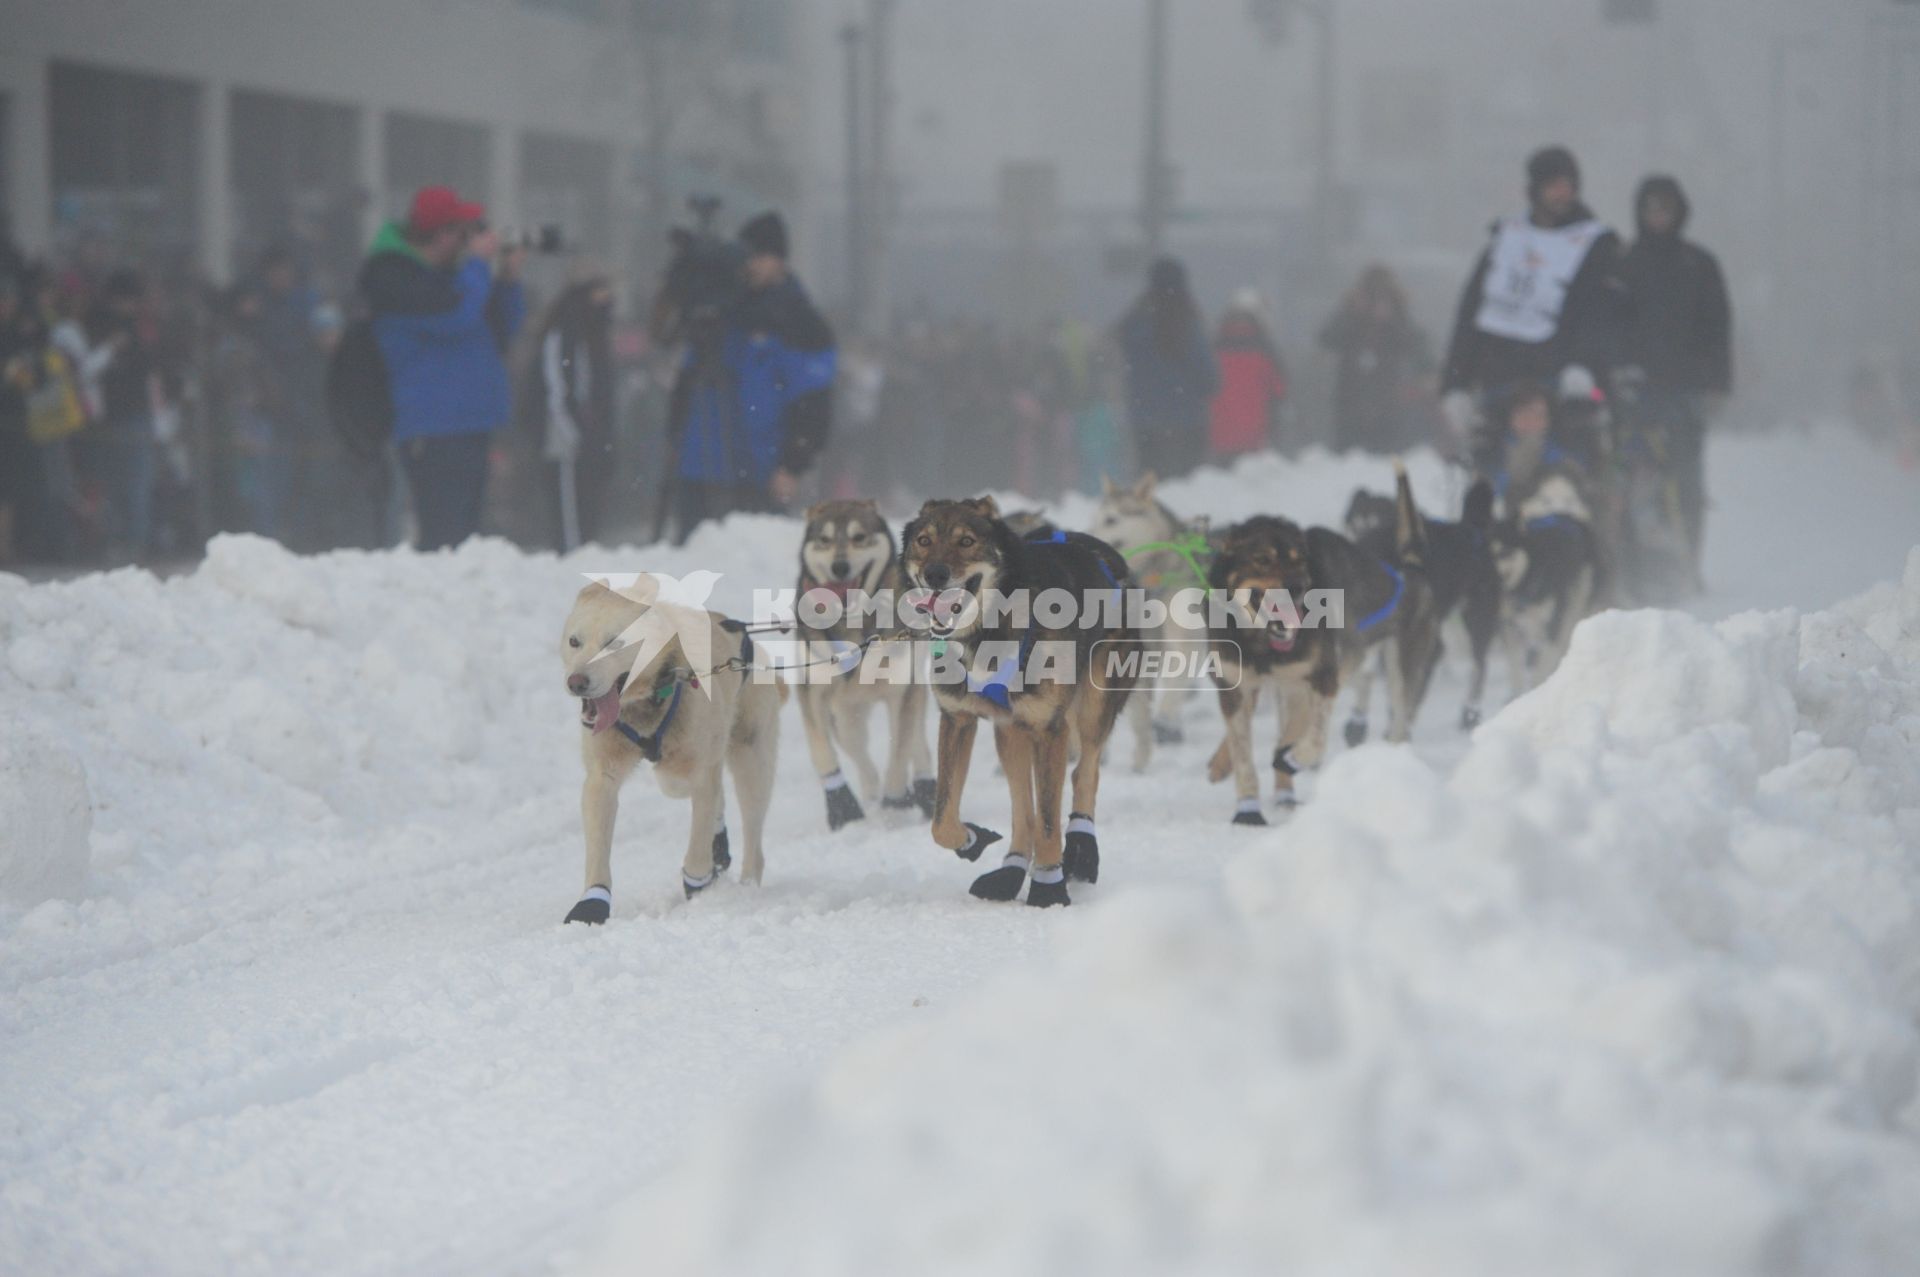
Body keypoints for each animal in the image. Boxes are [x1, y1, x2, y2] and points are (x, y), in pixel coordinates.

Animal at [560, 583, 783, 921]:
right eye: (575, 641)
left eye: (615, 642)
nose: (577, 682)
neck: (647, 701)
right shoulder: (601, 777)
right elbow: (598, 848)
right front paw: (592, 905)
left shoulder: (699, 772)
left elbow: (697, 845)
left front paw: (697, 885)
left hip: (751, 762)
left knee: (752, 841)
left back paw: (745, 885)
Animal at [898, 499, 1136, 906]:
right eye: (923, 540)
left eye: (967, 541)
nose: (935, 574)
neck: (988, 631)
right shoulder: (957, 719)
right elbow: (941, 820)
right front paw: (970, 838)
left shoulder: (1049, 727)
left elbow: (1049, 822)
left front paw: (1048, 888)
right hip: (1010, 732)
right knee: (1022, 807)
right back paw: (1009, 872)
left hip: (1092, 706)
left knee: (1084, 773)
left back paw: (1082, 850)